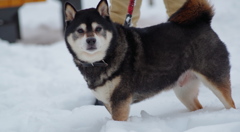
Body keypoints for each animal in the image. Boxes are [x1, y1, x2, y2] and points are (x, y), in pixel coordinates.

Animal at [63, 0, 234, 120]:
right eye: (80, 30)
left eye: (98, 29)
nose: (91, 40)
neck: (104, 59)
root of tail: (203, 22)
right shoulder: (109, 102)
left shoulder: (120, 101)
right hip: (184, 91)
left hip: (215, 80)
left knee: (230, 103)